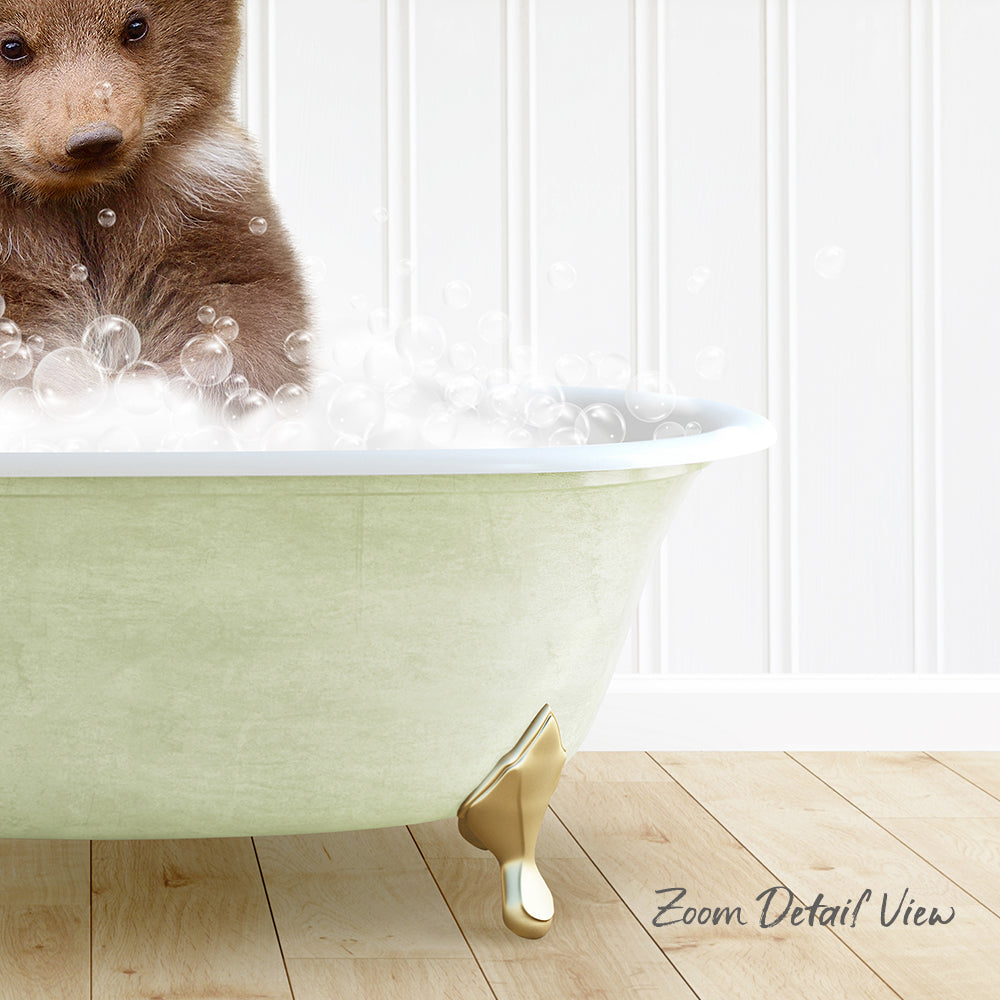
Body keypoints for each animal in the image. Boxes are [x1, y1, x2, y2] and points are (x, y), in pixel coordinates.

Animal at [0, 0, 312, 406]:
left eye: (136, 26)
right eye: (11, 46)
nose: (93, 139)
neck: (82, 199)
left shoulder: (198, 206)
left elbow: (246, 318)